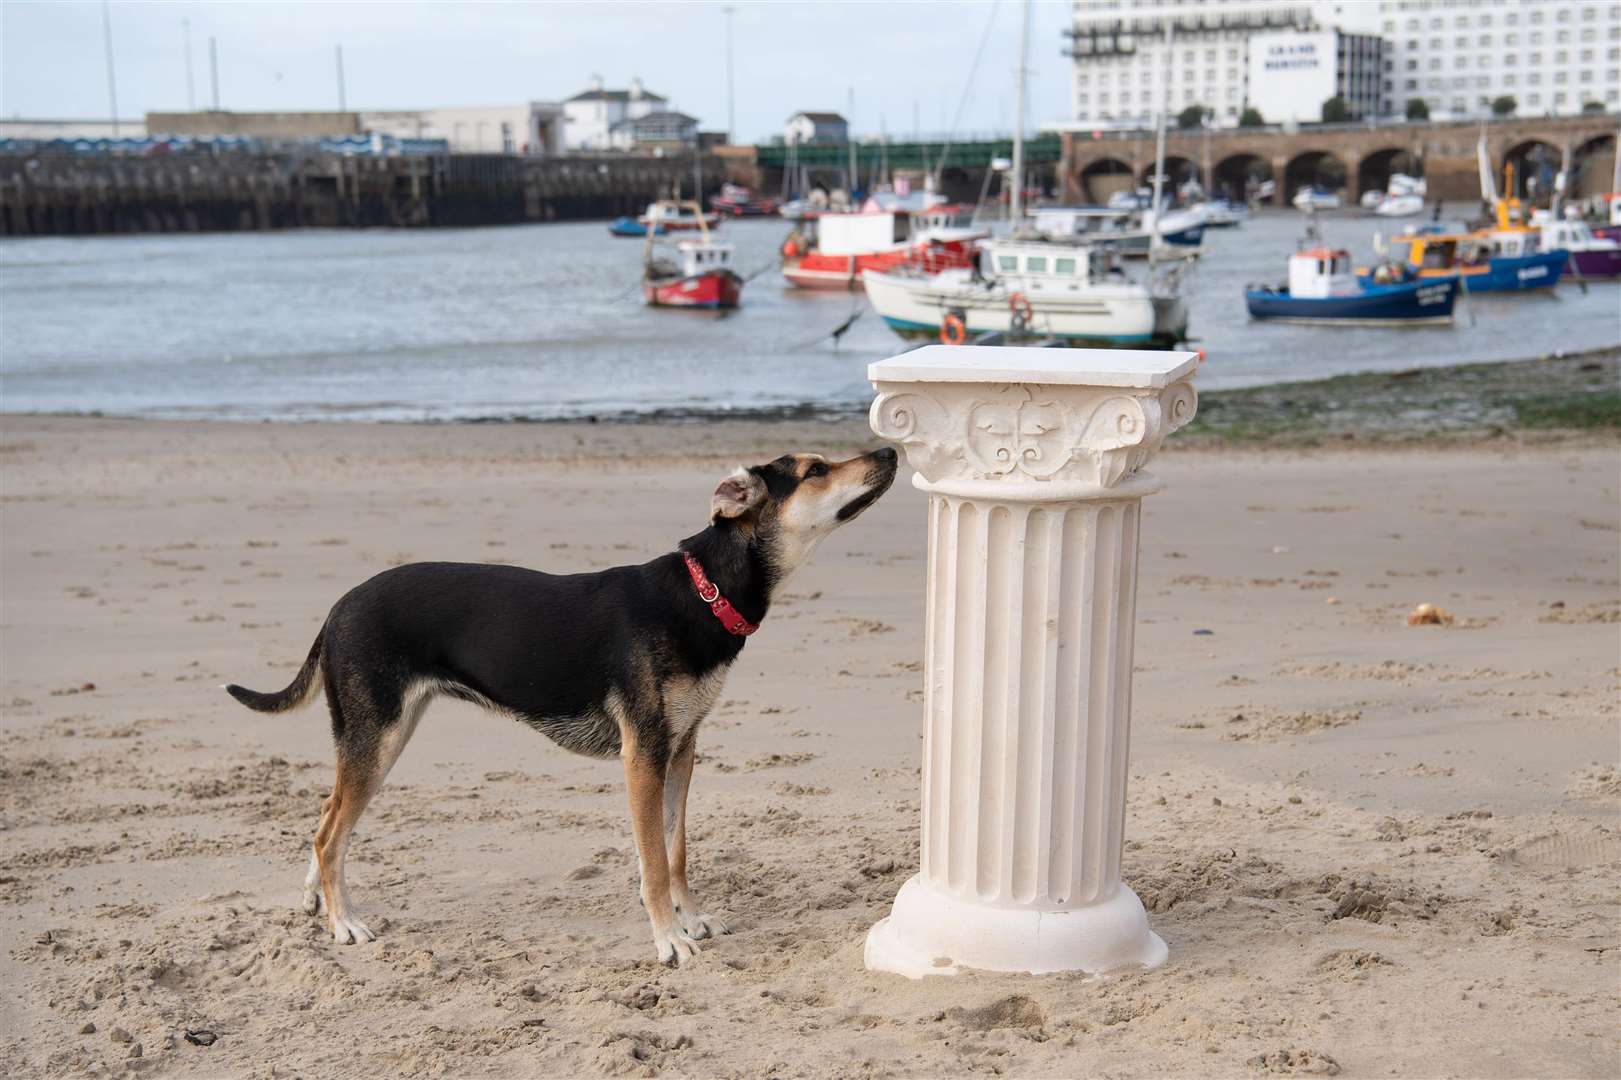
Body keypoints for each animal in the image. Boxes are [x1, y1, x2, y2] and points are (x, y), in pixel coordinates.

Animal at [225, 444, 901, 960]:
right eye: (815, 469)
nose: (890, 453)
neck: (703, 592)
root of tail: (337, 608)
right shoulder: (643, 756)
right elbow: (653, 863)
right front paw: (670, 939)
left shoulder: (682, 749)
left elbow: (677, 850)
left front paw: (691, 917)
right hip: (379, 736)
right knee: (331, 834)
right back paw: (344, 922)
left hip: (383, 732)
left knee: (326, 816)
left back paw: (318, 900)